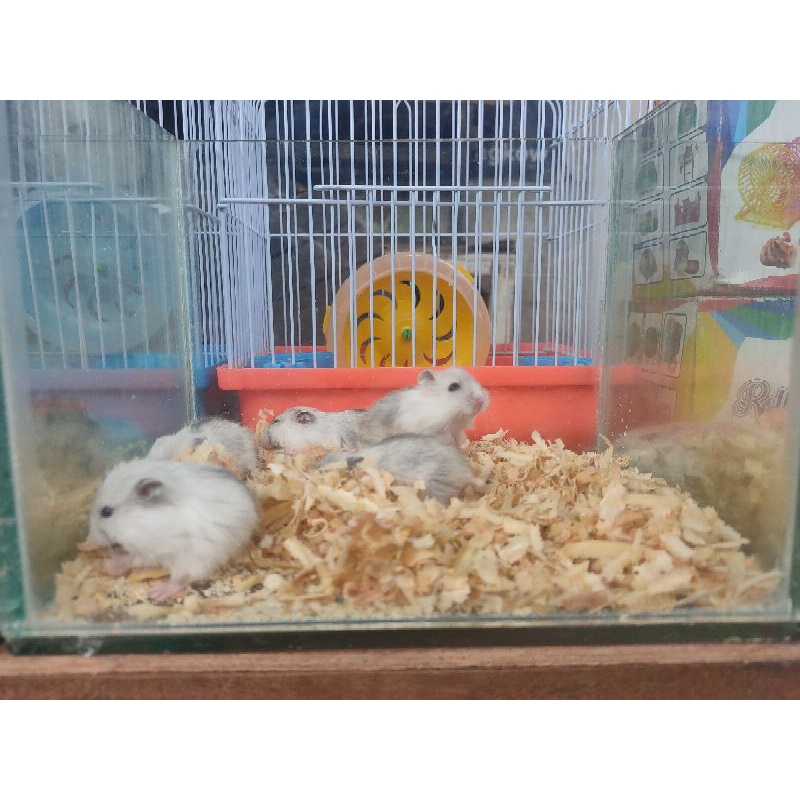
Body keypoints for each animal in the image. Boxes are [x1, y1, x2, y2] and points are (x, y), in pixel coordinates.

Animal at [87, 459, 259, 601]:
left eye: (106, 512)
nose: (92, 538)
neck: (139, 519)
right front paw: (106, 565)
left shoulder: (155, 548)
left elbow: (134, 558)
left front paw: (110, 566)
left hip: (195, 560)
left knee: (182, 579)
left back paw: (158, 592)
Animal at [356, 368, 489, 446]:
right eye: (453, 386)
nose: (480, 401)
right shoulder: (428, 429)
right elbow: (442, 435)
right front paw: (450, 441)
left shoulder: (457, 430)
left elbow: (459, 437)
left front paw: (459, 444)